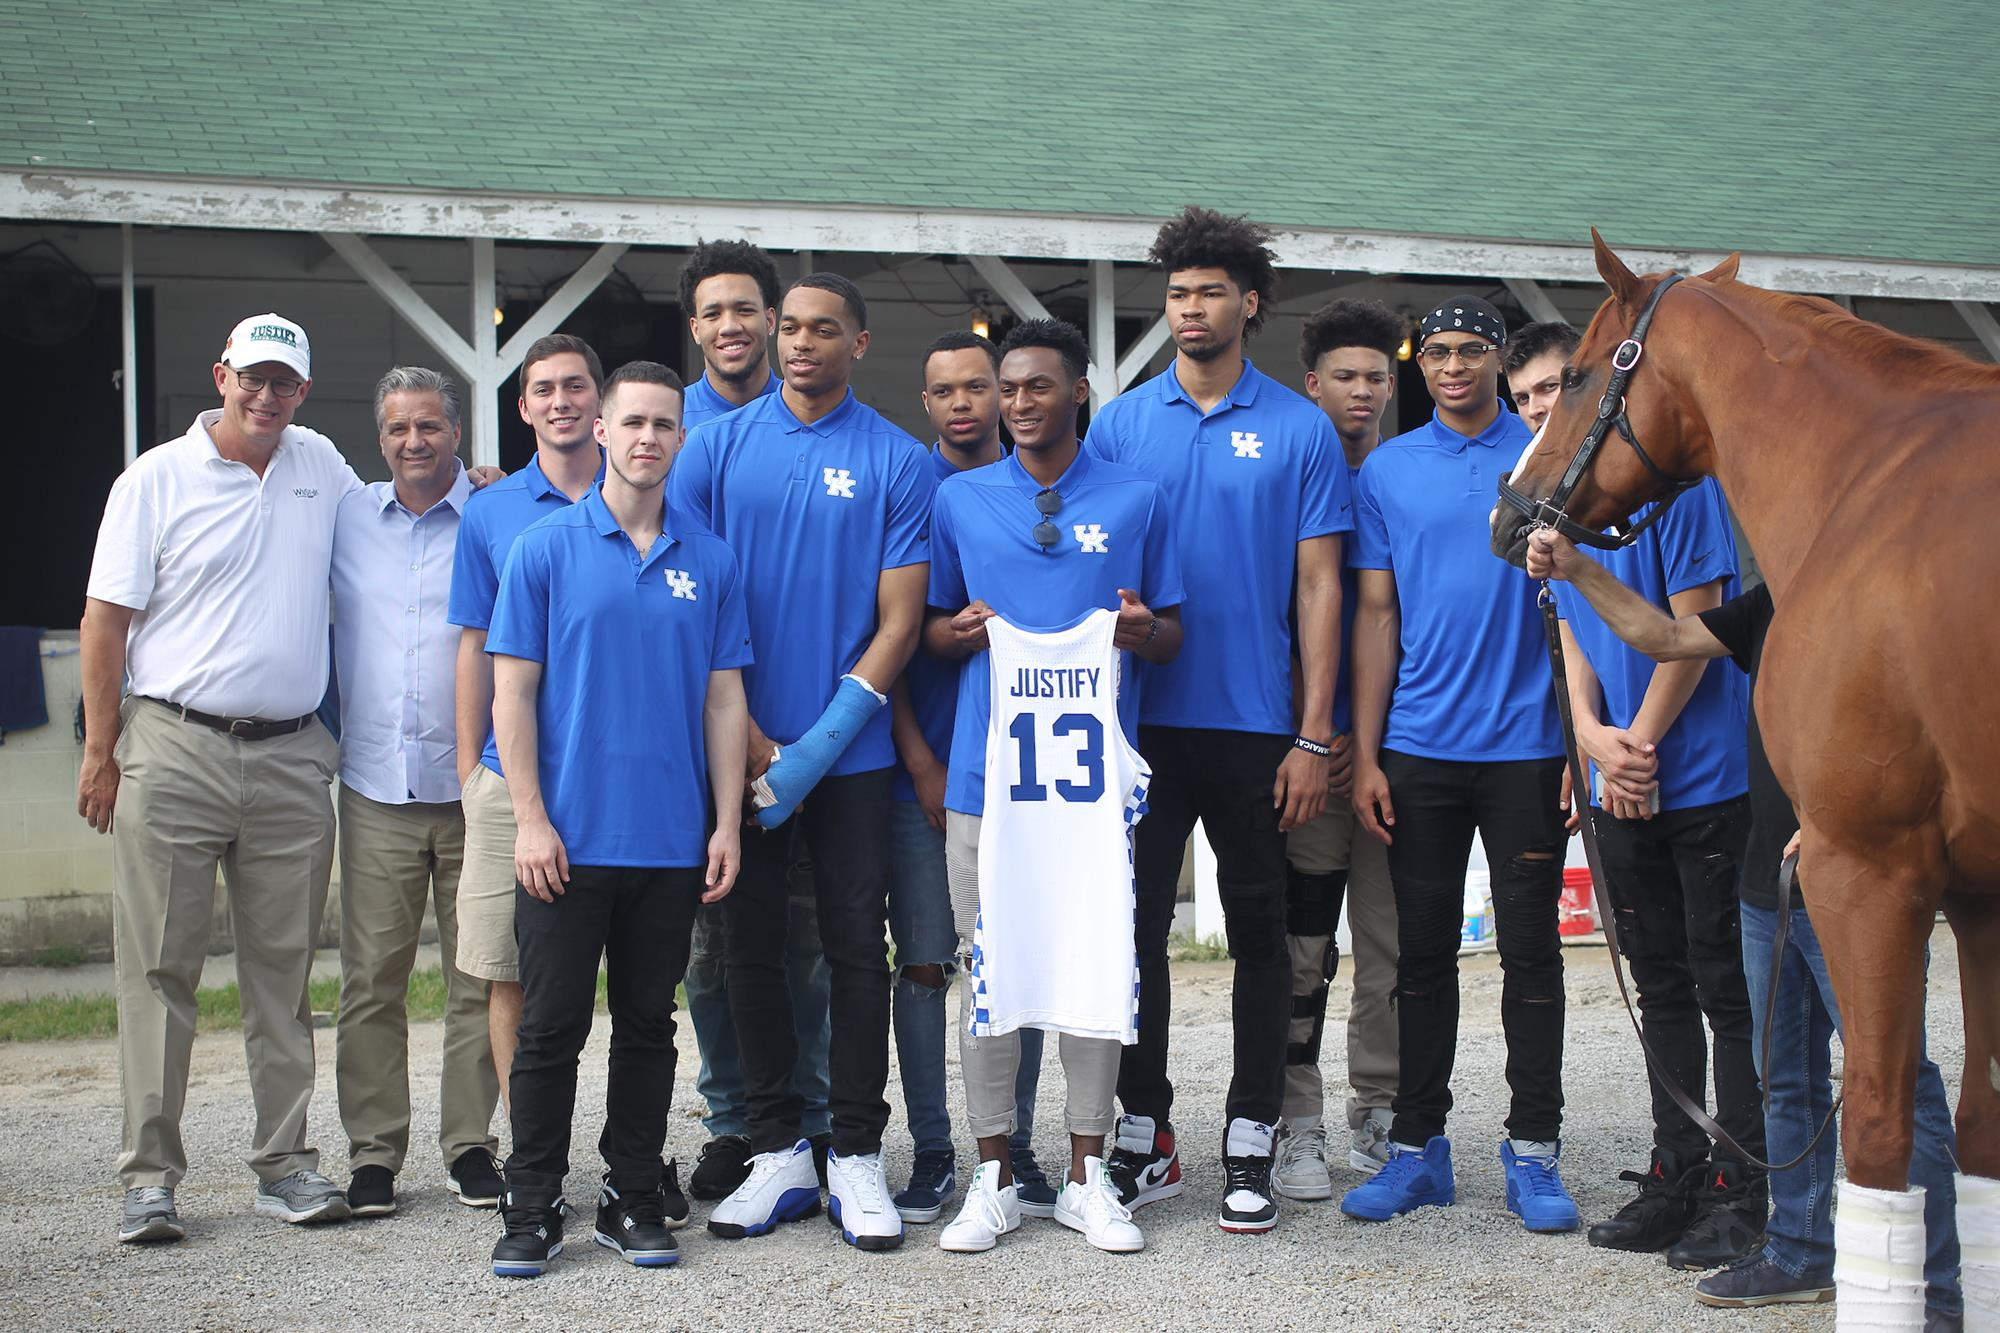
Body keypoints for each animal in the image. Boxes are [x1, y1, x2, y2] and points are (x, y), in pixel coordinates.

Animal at [1496, 231, 1992, 1320]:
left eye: (1577, 376)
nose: (1511, 519)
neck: (1867, 479)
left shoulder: (1865, 869)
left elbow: (1881, 1139)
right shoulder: (1982, 896)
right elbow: (1980, 1130)